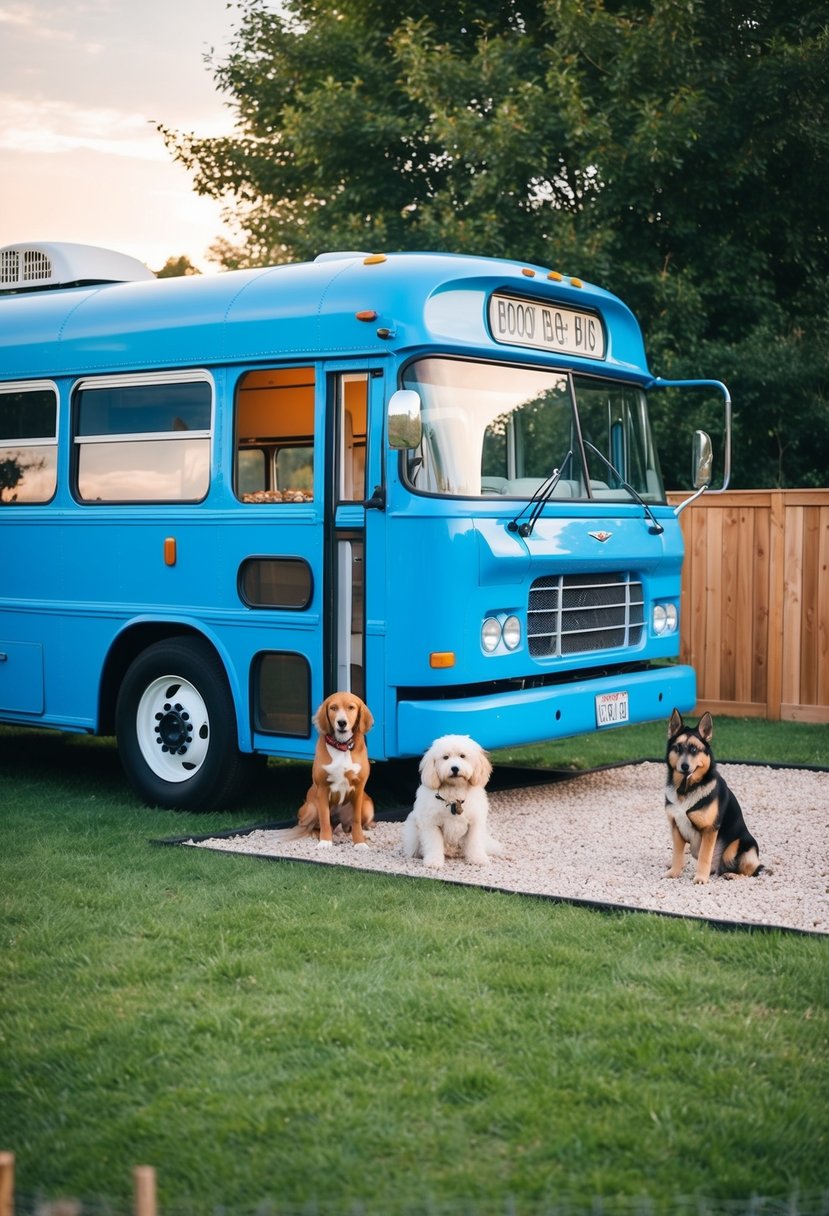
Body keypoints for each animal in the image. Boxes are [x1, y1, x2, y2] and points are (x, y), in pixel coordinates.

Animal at [295, 690, 371, 851]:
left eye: (351, 707)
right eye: (333, 708)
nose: (341, 722)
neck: (342, 746)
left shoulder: (359, 789)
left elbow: (356, 821)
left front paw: (360, 842)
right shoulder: (323, 789)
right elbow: (324, 819)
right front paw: (325, 841)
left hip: (368, 808)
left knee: (349, 827)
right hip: (311, 808)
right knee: (313, 826)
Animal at [401, 734, 503, 870]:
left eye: (462, 756)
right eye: (445, 757)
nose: (454, 768)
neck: (454, 792)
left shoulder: (474, 823)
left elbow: (474, 842)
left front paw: (477, 859)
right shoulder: (431, 824)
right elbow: (433, 844)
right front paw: (434, 861)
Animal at [666, 705, 763, 885]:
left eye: (694, 749)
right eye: (677, 748)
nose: (684, 766)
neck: (686, 789)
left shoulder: (709, 830)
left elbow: (705, 856)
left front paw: (700, 878)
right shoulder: (676, 827)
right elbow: (677, 854)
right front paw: (674, 872)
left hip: (737, 848)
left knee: (752, 871)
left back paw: (732, 875)